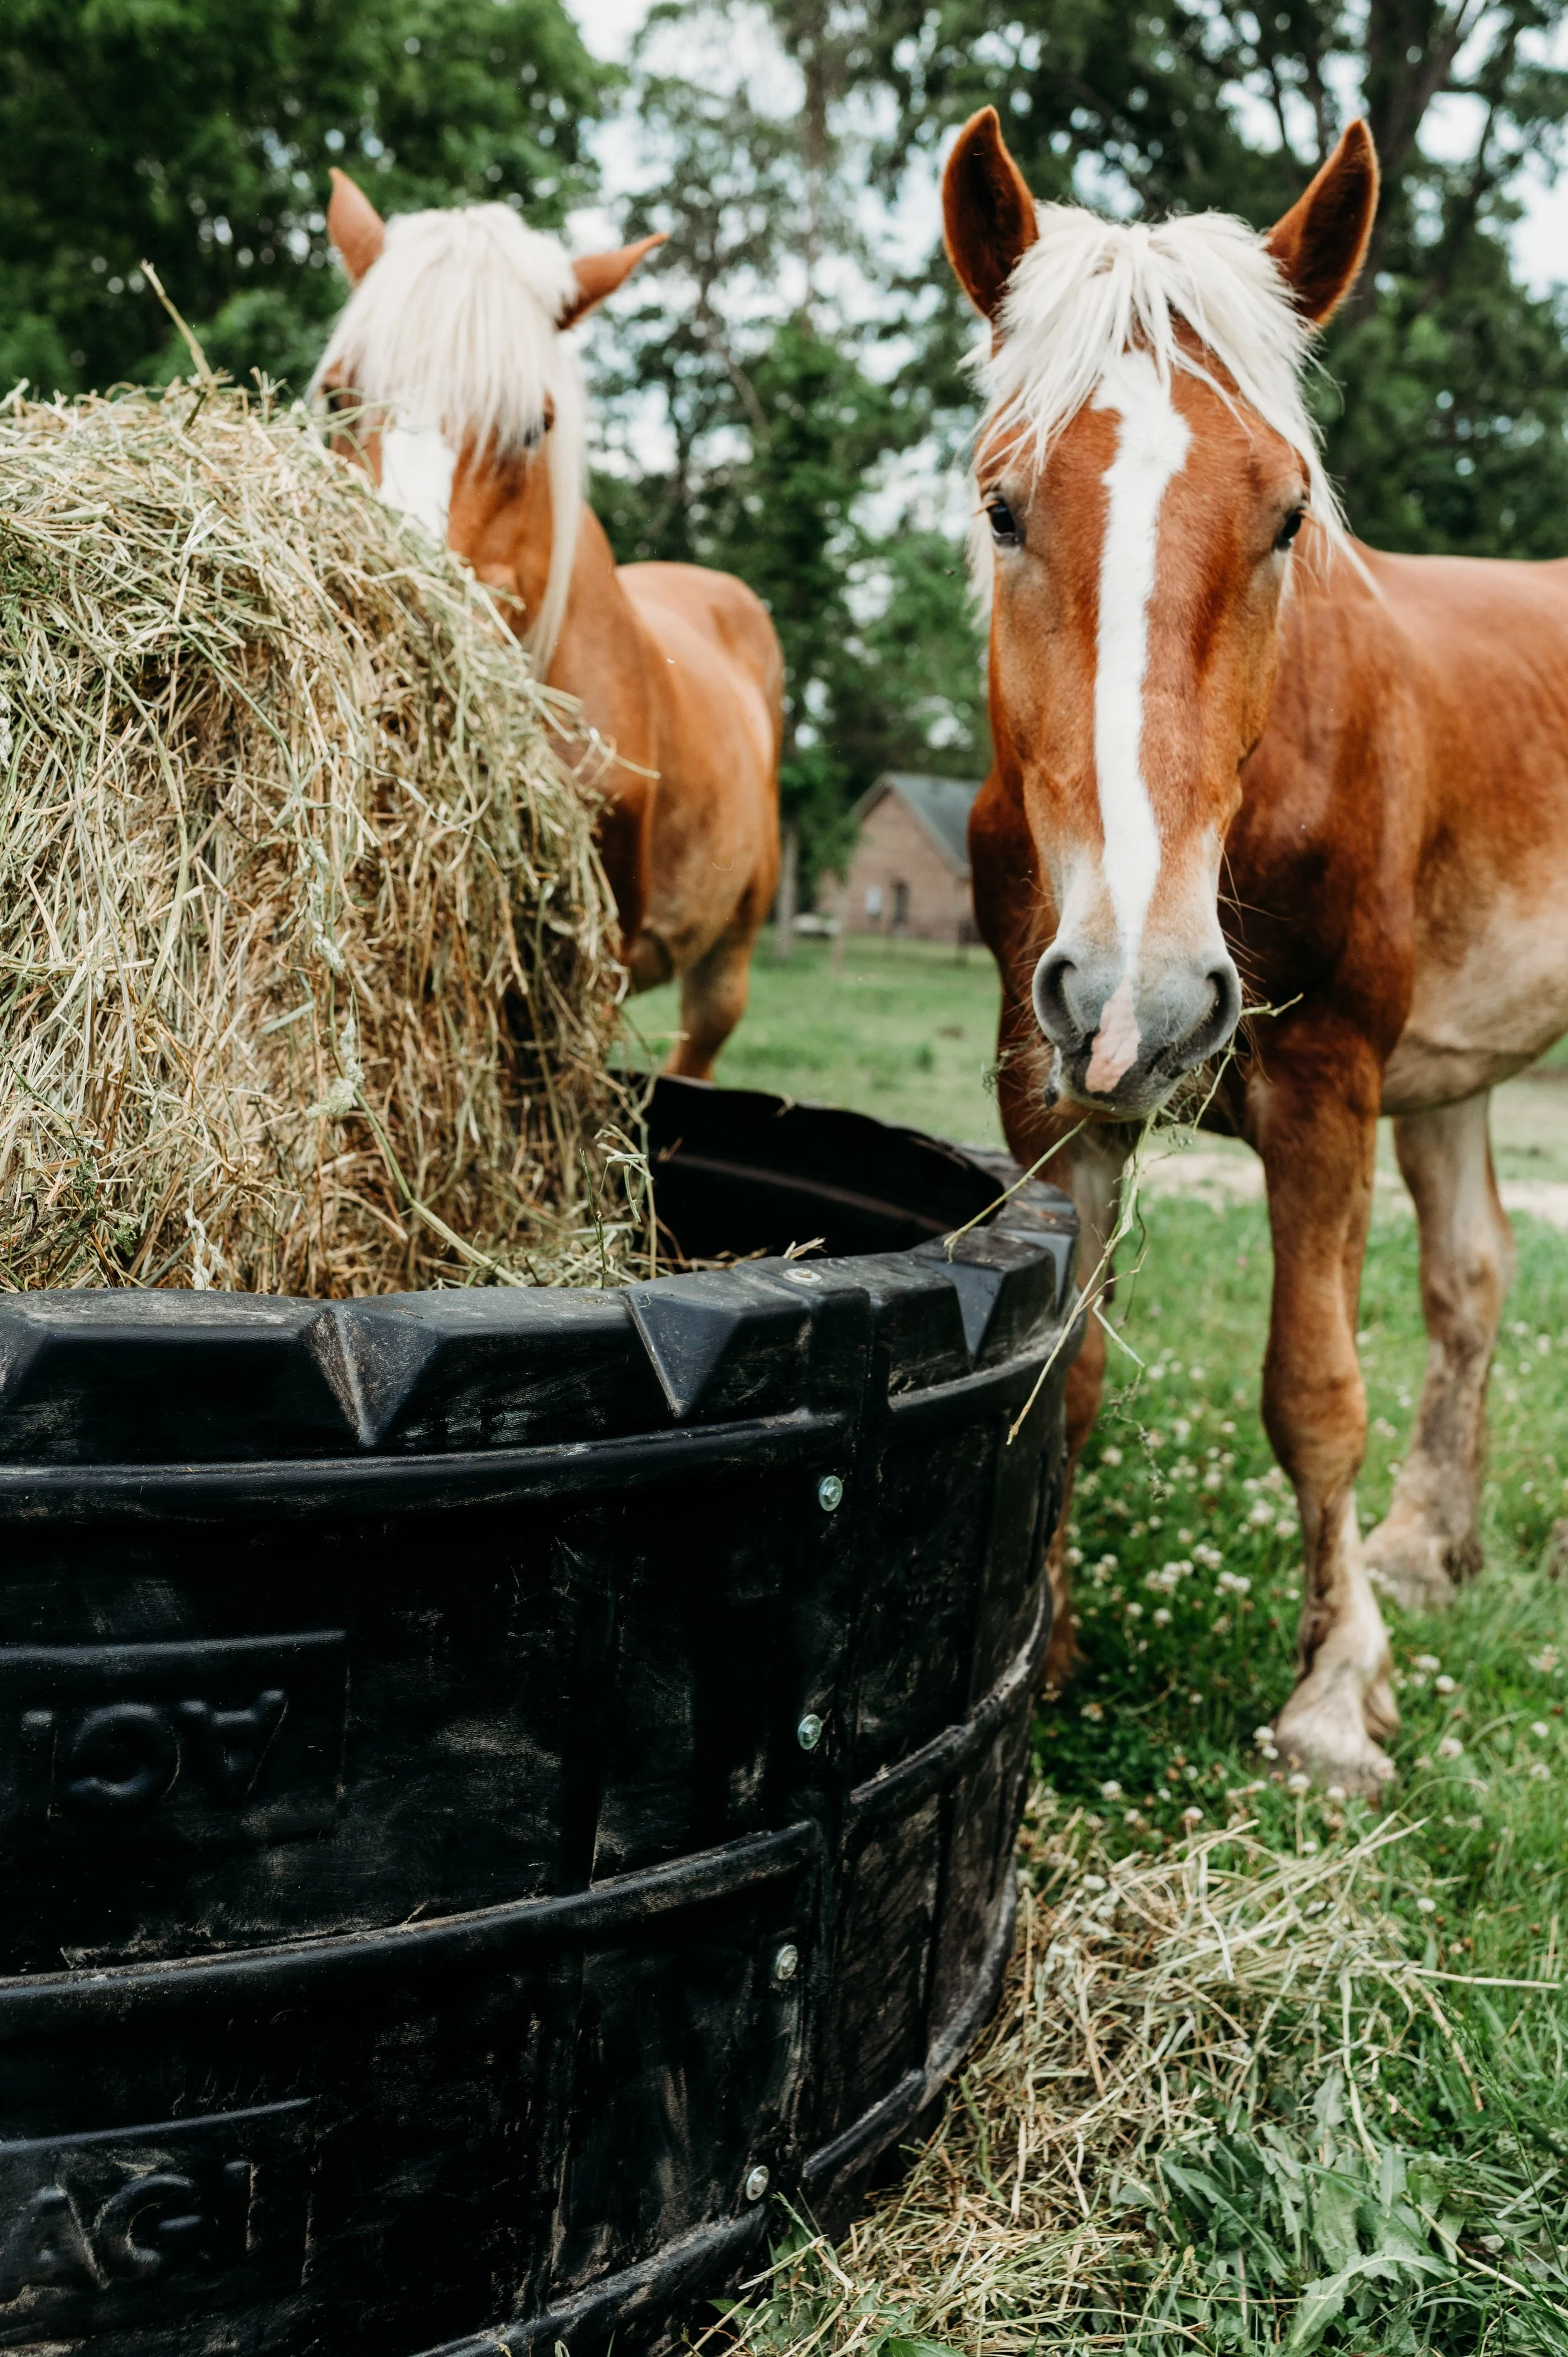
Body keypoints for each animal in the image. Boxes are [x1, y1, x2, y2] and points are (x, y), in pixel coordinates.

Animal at [942, 108, 1568, 1794]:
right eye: (1003, 506)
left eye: (1285, 514)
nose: (1143, 1000)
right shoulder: (1052, 1092)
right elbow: (1068, 1374)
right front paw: (1048, 1638)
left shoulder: (1325, 1081)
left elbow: (1313, 1388)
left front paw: (1335, 1694)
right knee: (1470, 1276)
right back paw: (1428, 1544)